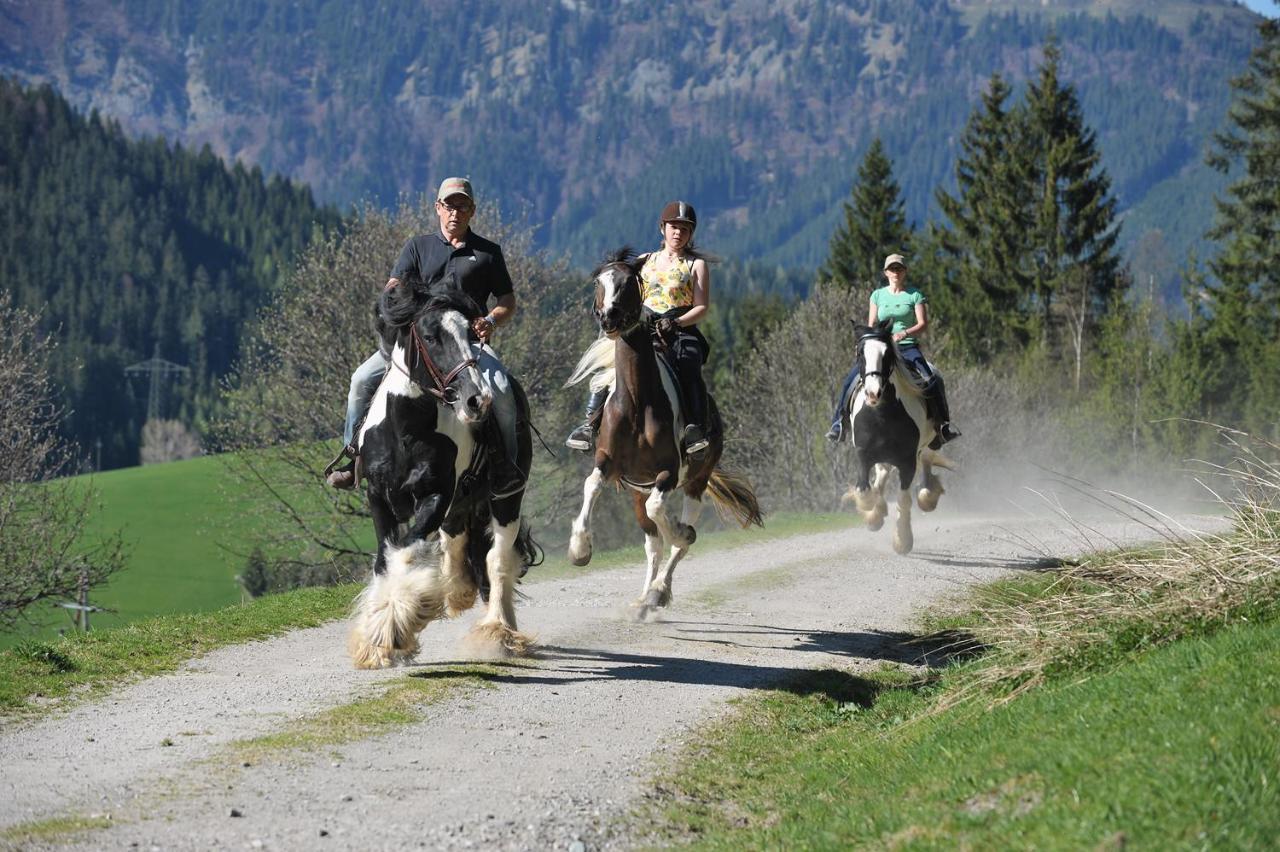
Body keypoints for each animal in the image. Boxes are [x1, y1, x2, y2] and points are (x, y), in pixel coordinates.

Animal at [563, 246, 757, 616]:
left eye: (629, 282)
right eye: (598, 282)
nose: (609, 319)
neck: (637, 402)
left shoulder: (667, 472)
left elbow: (669, 522)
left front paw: (682, 533)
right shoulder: (607, 461)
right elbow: (591, 484)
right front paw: (579, 550)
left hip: (695, 482)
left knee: (677, 542)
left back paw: (658, 590)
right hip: (636, 491)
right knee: (652, 544)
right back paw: (643, 598)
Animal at [839, 318, 952, 550]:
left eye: (887, 354)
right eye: (859, 353)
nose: (873, 393)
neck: (881, 414)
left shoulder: (907, 460)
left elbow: (904, 498)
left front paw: (902, 540)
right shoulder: (863, 454)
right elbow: (865, 491)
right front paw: (873, 516)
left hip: (929, 442)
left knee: (925, 462)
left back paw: (927, 497)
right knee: (882, 473)